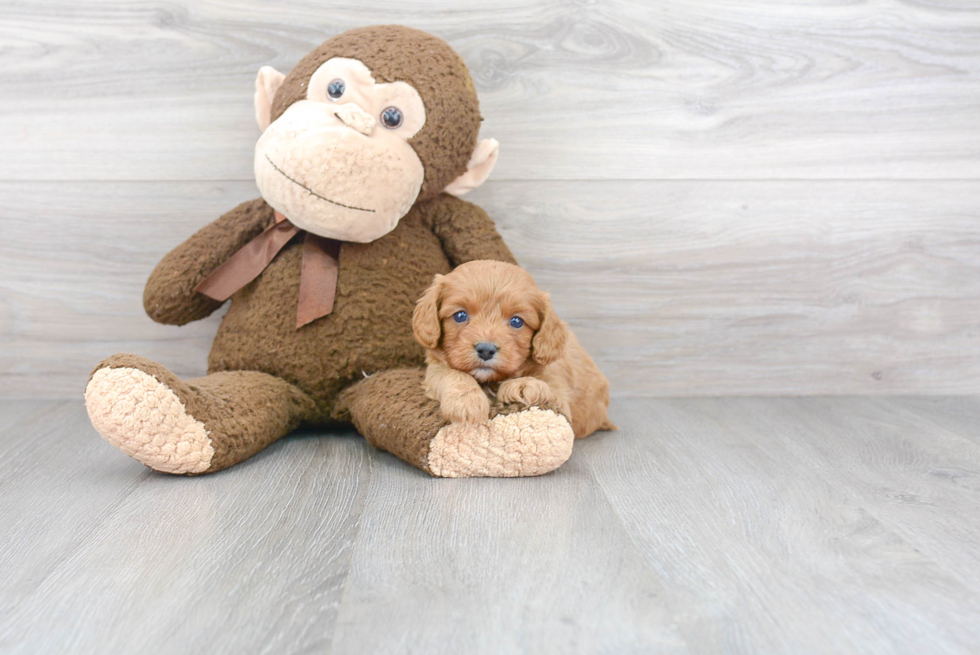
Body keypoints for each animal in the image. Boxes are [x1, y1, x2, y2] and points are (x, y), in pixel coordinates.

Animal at [412, 258, 612, 438]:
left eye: (516, 321)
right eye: (460, 315)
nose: (486, 350)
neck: (492, 380)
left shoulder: (560, 398)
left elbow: (545, 386)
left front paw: (524, 384)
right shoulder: (434, 369)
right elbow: (451, 374)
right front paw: (466, 401)